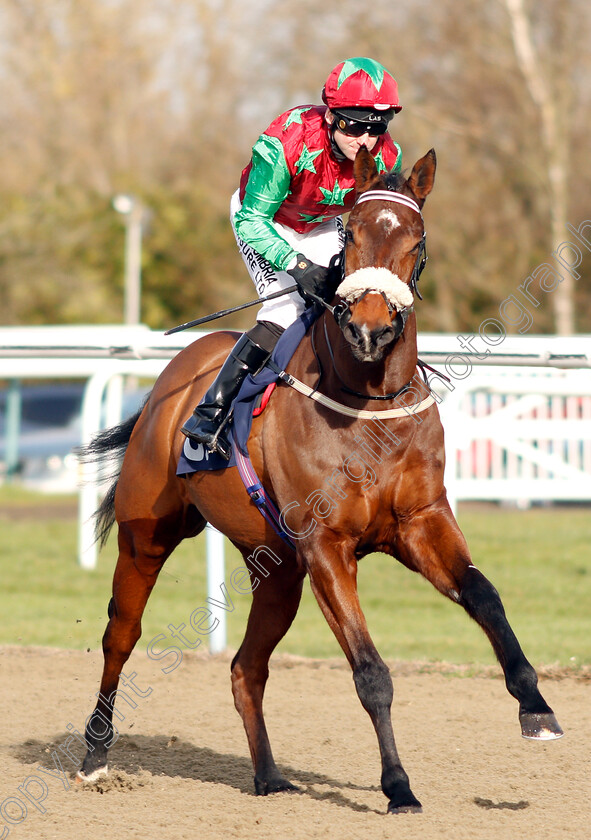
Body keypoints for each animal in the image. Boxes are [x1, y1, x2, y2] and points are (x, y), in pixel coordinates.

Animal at [78, 148, 564, 812]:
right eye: (350, 235)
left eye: (416, 240)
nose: (369, 329)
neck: (368, 401)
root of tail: (169, 384)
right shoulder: (327, 547)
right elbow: (372, 672)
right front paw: (398, 785)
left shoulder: (419, 524)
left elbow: (485, 595)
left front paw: (536, 708)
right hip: (147, 536)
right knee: (121, 635)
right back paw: (95, 755)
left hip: (277, 570)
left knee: (245, 668)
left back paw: (268, 776)